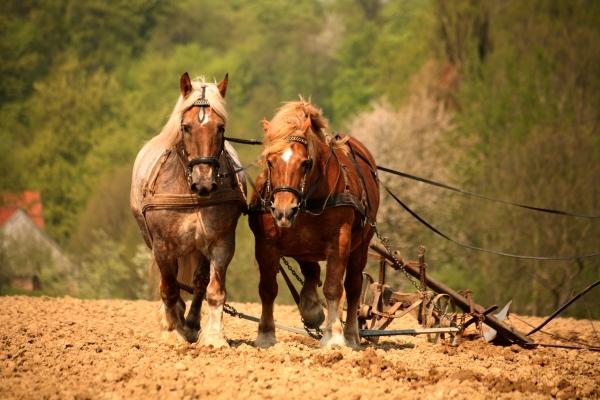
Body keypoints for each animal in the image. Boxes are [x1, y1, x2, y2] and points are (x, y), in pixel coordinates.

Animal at [129, 72, 246, 346]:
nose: (204, 182)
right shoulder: (163, 246)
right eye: (186, 127)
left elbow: (214, 290)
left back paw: (191, 323)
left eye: (220, 128)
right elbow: (170, 288)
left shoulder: (221, 243)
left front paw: (214, 337)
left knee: (199, 282)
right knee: (170, 282)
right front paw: (172, 331)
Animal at [248, 99, 380, 346]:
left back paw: (351, 335)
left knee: (354, 286)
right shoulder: (266, 244)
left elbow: (334, 288)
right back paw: (311, 309)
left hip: (361, 245)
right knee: (311, 271)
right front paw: (266, 334)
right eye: (270, 162)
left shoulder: (340, 240)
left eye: (305, 163)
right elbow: (268, 288)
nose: (284, 211)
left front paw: (333, 336)